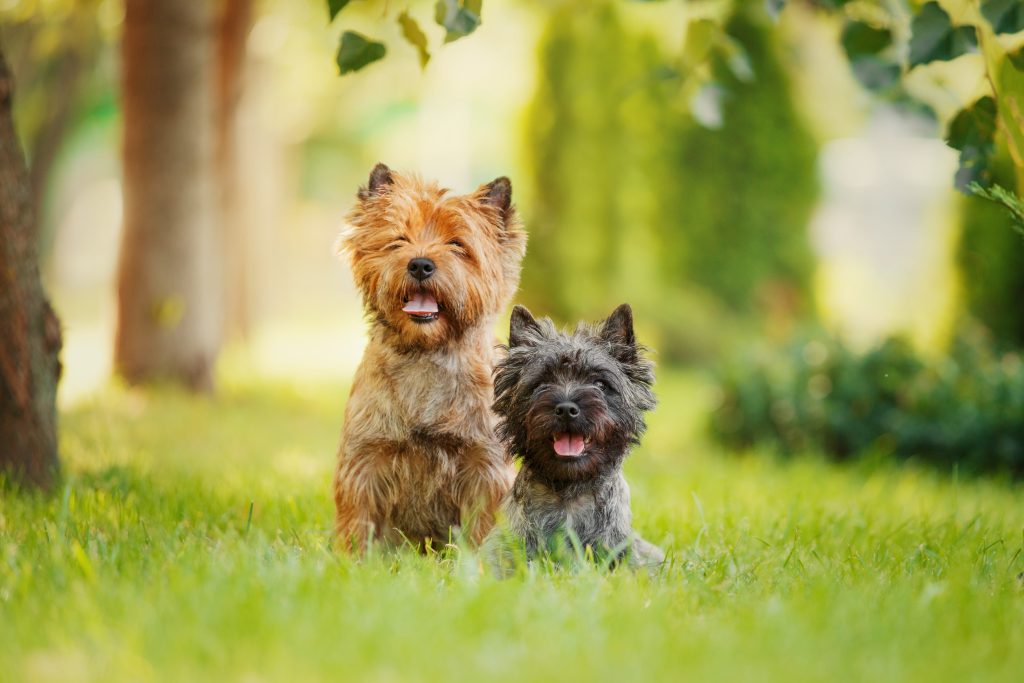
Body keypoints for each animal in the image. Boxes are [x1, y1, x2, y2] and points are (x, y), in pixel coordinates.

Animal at [335, 163, 524, 548]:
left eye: (457, 245)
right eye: (398, 240)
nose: (420, 264)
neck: (426, 355)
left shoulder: (484, 466)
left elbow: (483, 525)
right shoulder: (366, 458)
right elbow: (359, 519)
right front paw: (353, 557)